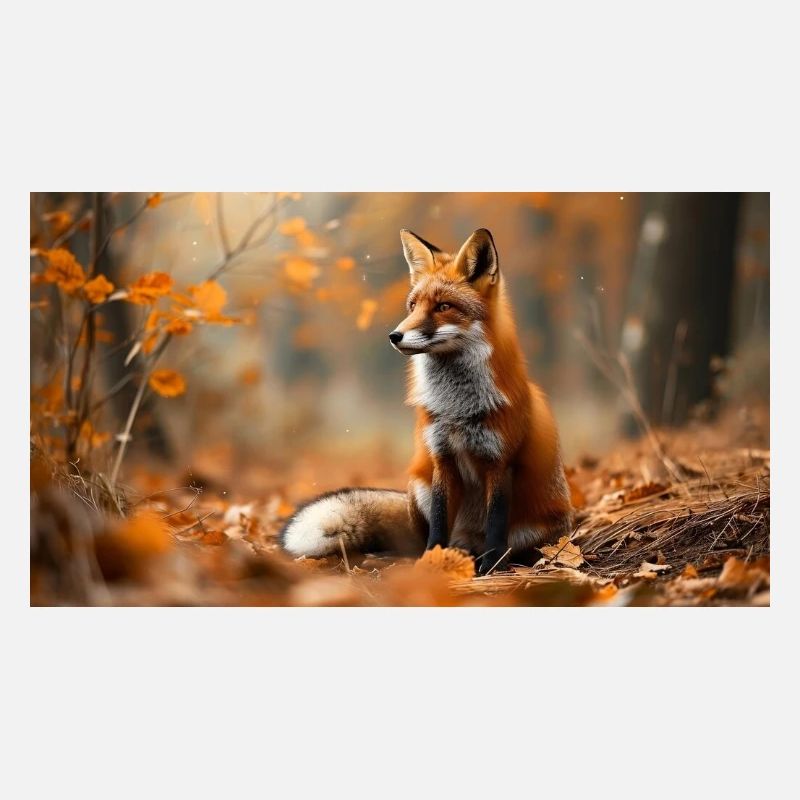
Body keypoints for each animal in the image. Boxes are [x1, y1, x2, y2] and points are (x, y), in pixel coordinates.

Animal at [280, 227, 573, 575]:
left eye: (443, 306)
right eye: (412, 306)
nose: (394, 336)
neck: (457, 409)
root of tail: (468, 540)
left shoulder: (499, 462)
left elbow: (495, 526)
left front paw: (491, 568)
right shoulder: (441, 457)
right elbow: (438, 523)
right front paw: (431, 562)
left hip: (534, 530)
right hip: (418, 484)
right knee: (420, 540)